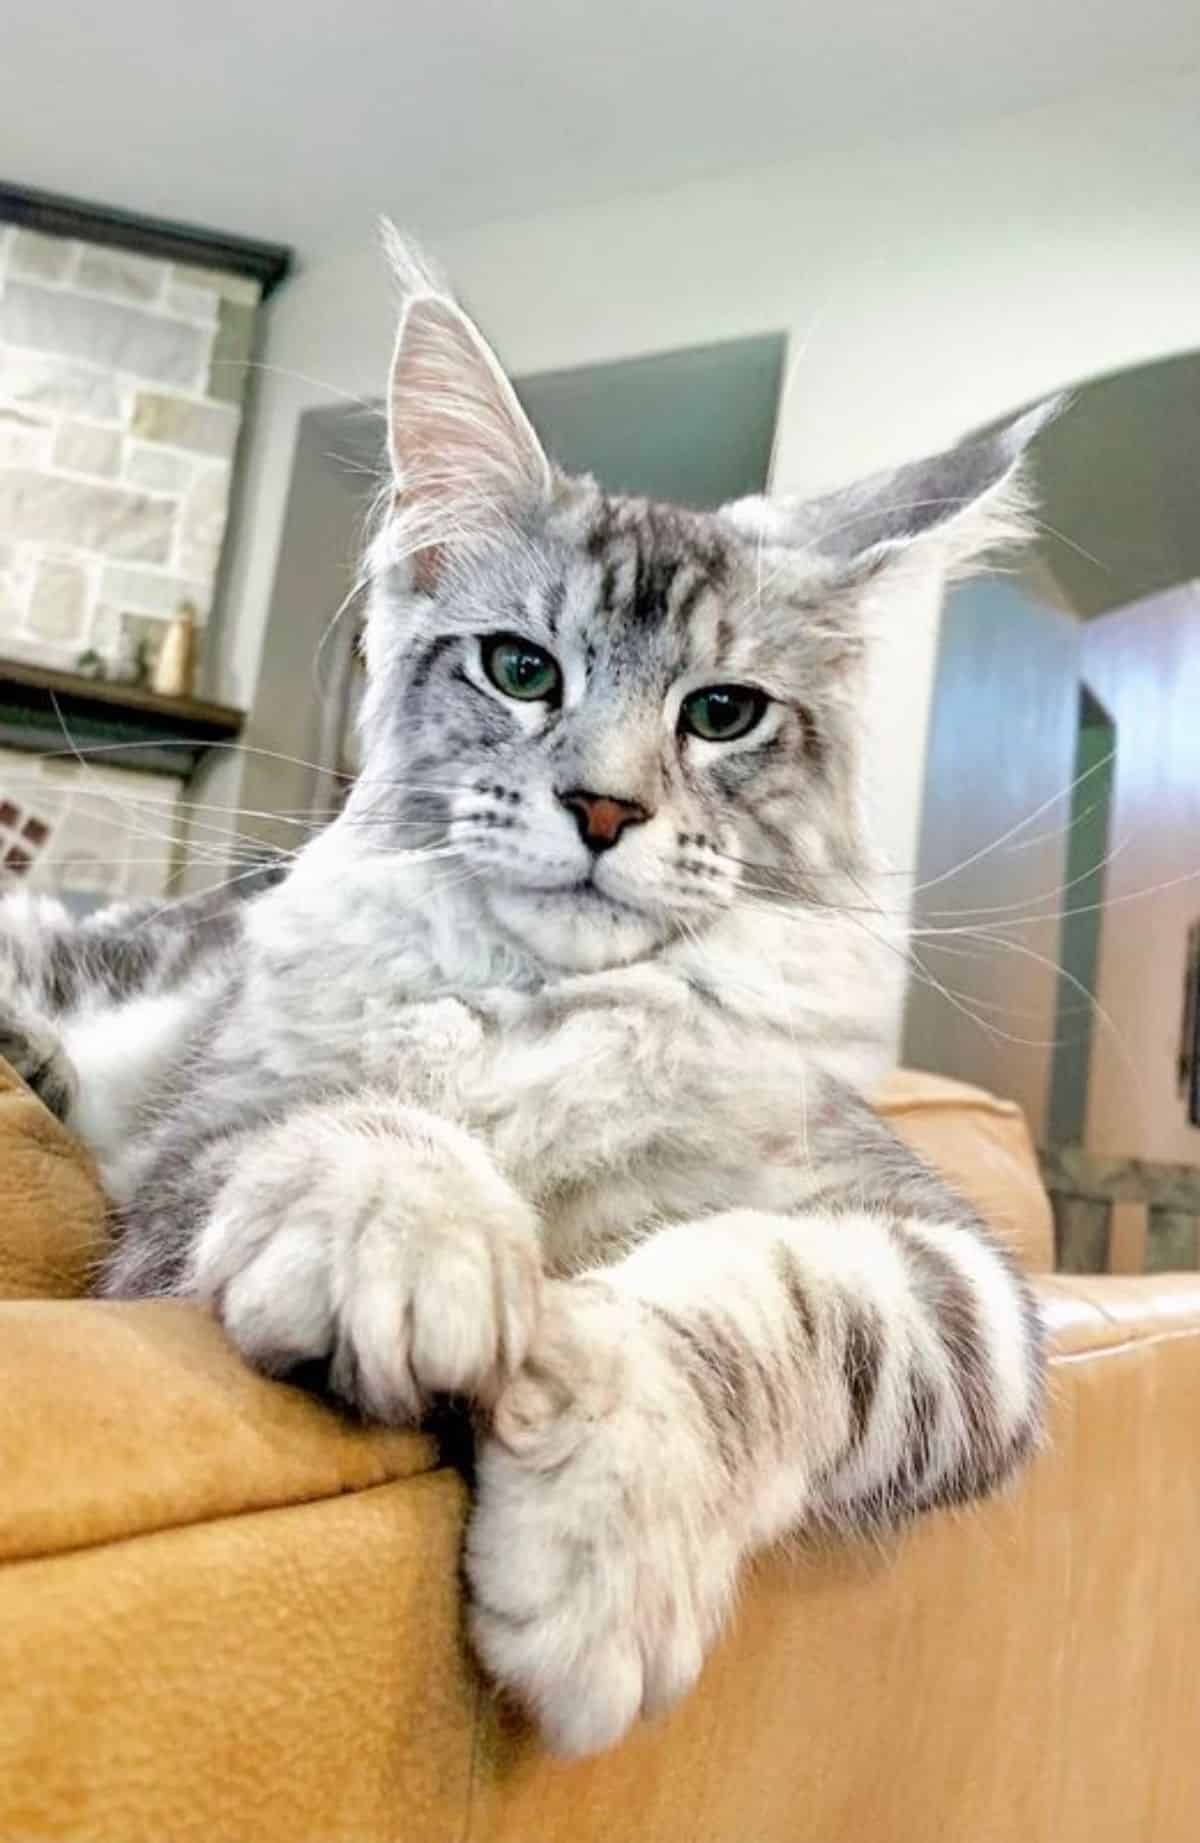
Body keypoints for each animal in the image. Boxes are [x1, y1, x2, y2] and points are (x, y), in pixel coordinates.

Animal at [0, 234, 1047, 1754]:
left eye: (721, 712)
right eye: (519, 669)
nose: (603, 806)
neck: (547, 1008)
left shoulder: (958, 1268)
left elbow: (781, 1296)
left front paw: (606, 1541)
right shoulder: (190, 1166)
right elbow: (353, 1126)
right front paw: (416, 1237)